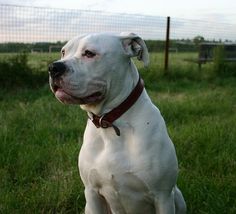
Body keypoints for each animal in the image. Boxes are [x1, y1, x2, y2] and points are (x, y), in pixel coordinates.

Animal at [48, 32, 186, 214]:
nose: (53, 67)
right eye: (63, 52)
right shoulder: (92, 193)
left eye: (89, 53)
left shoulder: (162, 196)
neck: (110, 122)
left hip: (176, 196)